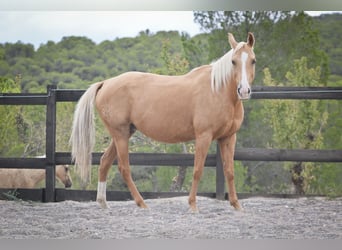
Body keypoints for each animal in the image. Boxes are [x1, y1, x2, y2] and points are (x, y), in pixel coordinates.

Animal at [71, 31, 255, 211]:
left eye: (253, 61)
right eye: (233, 61)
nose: (244, 91)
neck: (217, 90)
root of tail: (105, 83)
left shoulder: (228, 137)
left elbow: (229, 171)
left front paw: (236, 205)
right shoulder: (204, 136)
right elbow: (197, 170)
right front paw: (192, 205)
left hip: (123, 134)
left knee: (104, 162)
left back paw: (103, 202)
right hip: (120, 135)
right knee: (124, 168)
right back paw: (141, 203)